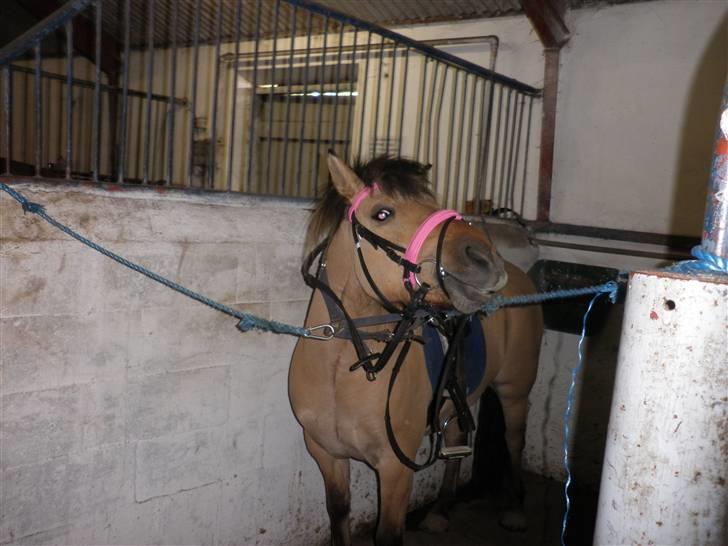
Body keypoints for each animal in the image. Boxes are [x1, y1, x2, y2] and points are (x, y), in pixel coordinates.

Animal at [289, 153, 543, 546]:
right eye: (382, 213)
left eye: (434, 204)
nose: (484, 260)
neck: (344, 370)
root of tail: (519, 275)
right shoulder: (327, 455)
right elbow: (338, 515)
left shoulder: (396, 469)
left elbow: (388, 535)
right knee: (456, 439)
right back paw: (440, 511)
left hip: (514, 392)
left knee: (514, 440)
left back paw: (515, 509)